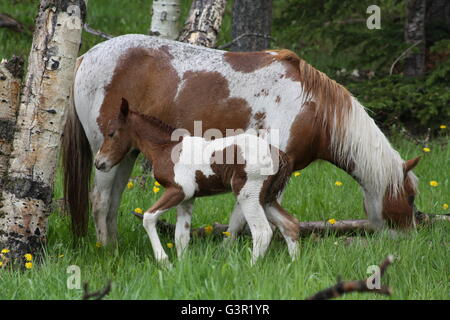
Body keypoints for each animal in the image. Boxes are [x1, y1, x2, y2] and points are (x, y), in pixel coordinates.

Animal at [61, 34, 420, 245]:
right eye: (410, 197)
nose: (410, 237)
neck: (310, 106)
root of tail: (85, 57)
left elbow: (241, 218)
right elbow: (245, 218)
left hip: (125, 153)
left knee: (112, 203)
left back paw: (115, 248)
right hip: (106, 154)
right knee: (100, 200)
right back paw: (106, 251)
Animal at [95, 98, 298, 264]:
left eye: (111, 133)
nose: (99, 162)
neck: (166, 148)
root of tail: (280, 155)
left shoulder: (179, 190)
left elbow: (148, 217)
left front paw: (164, 262)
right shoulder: (187, 198)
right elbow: (181, 236)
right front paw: (182, 268)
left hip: (249, 194)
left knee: (262, 231)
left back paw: (251, 268)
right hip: (266, 197)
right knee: (290, 225)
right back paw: (293, 265)